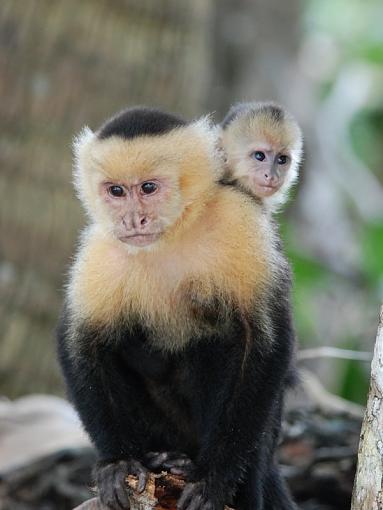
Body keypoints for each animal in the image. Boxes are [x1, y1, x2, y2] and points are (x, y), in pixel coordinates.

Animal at [57, 105, 298, 508]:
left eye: (148, 188)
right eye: (116, 191)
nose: (131, 219)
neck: (173, 234)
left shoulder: (240, 221)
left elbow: (265, 340)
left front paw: (213, 478)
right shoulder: (100, 248)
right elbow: (81, 343)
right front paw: (118, 463)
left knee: (220, 338)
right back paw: (158, 458)